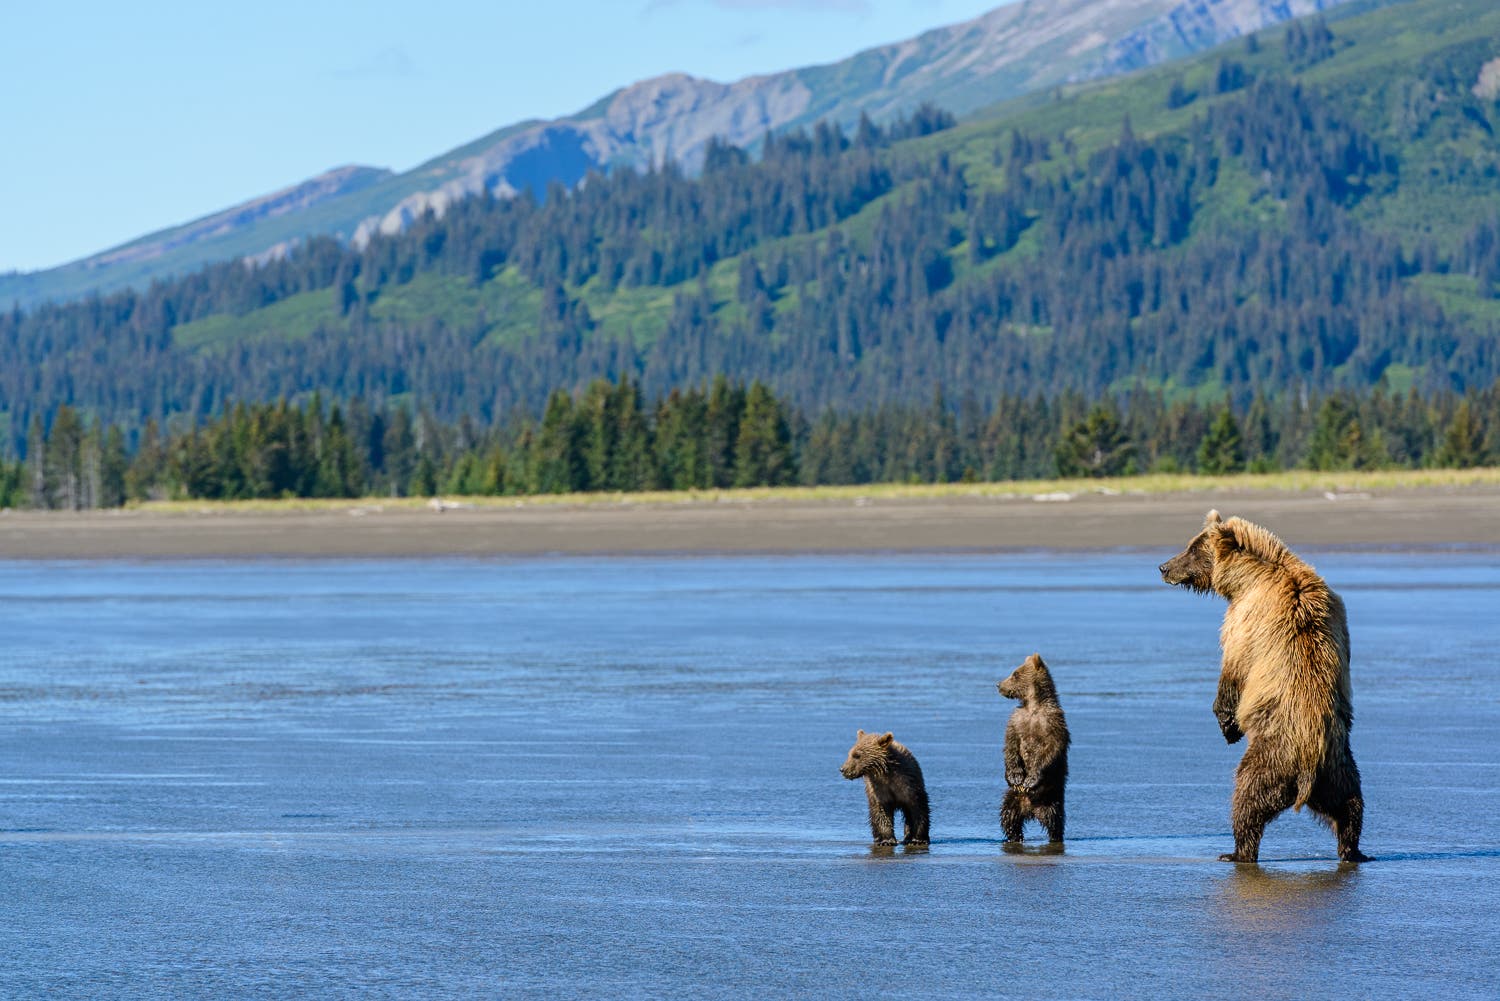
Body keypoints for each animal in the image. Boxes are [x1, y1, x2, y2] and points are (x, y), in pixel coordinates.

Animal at [997, 653, 1070, 843]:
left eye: (1015, 674)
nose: (998, 684)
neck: (1033, 706)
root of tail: (1031, 810)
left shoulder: (1052, 723)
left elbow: (1049, 750)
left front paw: (1030, 780)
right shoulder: (1016, 720)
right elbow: (1011, 745)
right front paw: (1015, 777)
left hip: (1052, 799)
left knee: (1055, 822)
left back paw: (1055, 837)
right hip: (1012, 798)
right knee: (1009, 818)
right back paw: (1014, 837)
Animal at [1160, 510, 1370, 864]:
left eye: (1192, 549)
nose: (1164, 567)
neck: (1248, 577)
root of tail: (1309, 765)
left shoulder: (1246, 619)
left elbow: (1234, 668)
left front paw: (1227, 724)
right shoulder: (1338, 615)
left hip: (1273, 754)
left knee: (1247, 796)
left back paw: (1235, 852)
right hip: (1339, 766)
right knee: (1350, 806)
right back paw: (1353, 850)